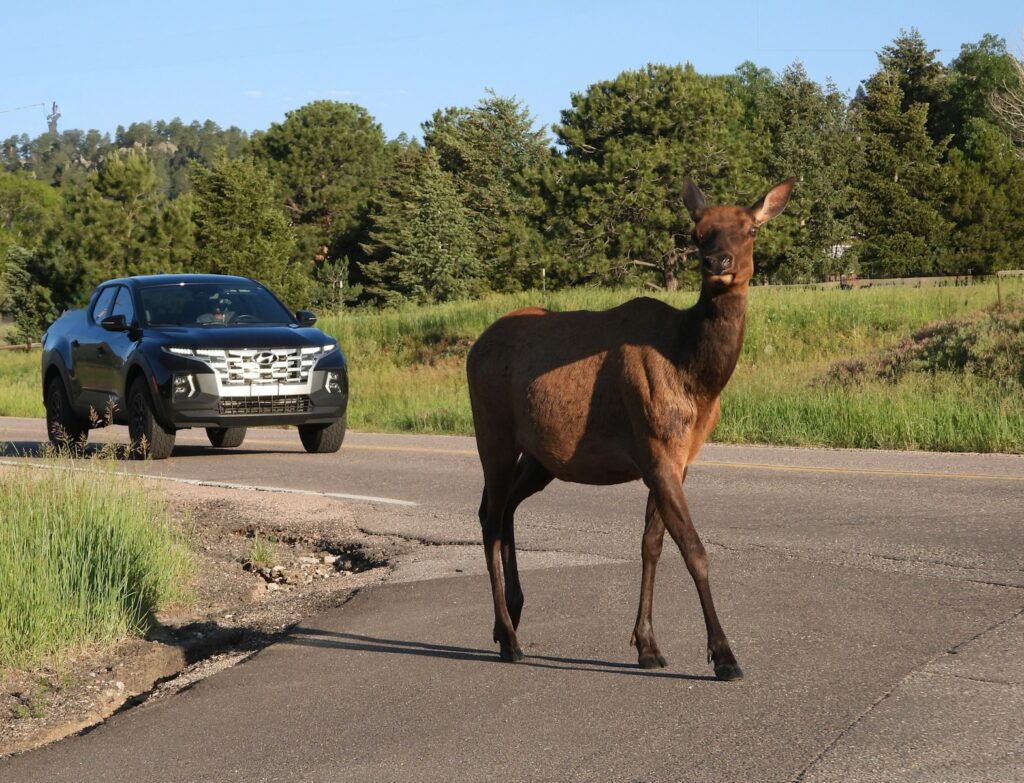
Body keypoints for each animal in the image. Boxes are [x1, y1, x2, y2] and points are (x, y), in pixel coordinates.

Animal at [466, 176, 794, 680]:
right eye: (698, 231)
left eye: (750, 230)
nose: (717, 263)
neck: (696, 376)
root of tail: (471, 349)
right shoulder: (656, 448)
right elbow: (693, 549)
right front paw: (723, 656)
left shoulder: (678, 459)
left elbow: (651, 544)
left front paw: (647, 645)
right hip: (493, 433)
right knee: (488, 517)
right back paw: (510, 638)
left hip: (541, 457)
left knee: (503, 511)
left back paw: (509, 621)